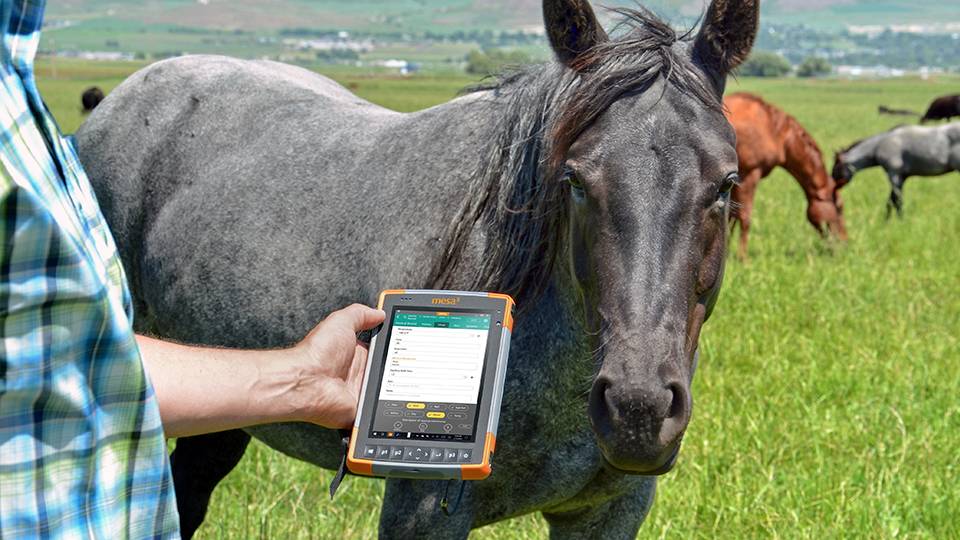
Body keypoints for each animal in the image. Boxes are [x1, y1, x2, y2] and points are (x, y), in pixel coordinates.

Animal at [723, 92, 846, 259]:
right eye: (839, 207)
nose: (844, 242)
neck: (774, 131)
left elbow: (731, 217)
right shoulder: (749, 175)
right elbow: (744, 217)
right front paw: (743, 258)